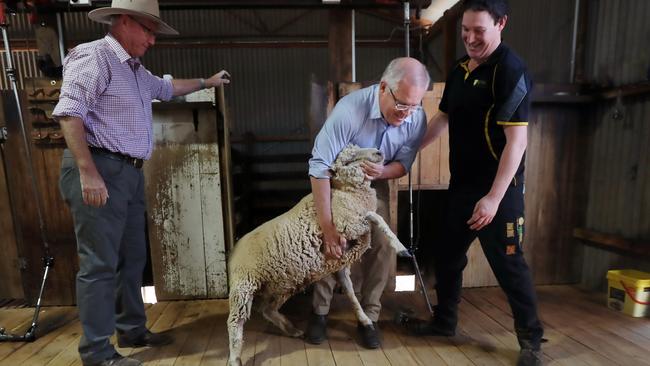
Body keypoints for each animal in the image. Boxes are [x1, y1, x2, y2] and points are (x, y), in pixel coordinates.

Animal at [227, 144, 404, 364]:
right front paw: (400, 246)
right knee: (235, 322)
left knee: (266, 309)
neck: (347, 193)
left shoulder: (341, 263)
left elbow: (352, 295)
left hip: (285, 284)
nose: (379, 153)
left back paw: (291, 329)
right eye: (349, 160)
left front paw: (364, 320)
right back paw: (234, 358)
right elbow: (376, 217)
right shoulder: (346, 226)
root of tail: (234, 250)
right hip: (243, 286)